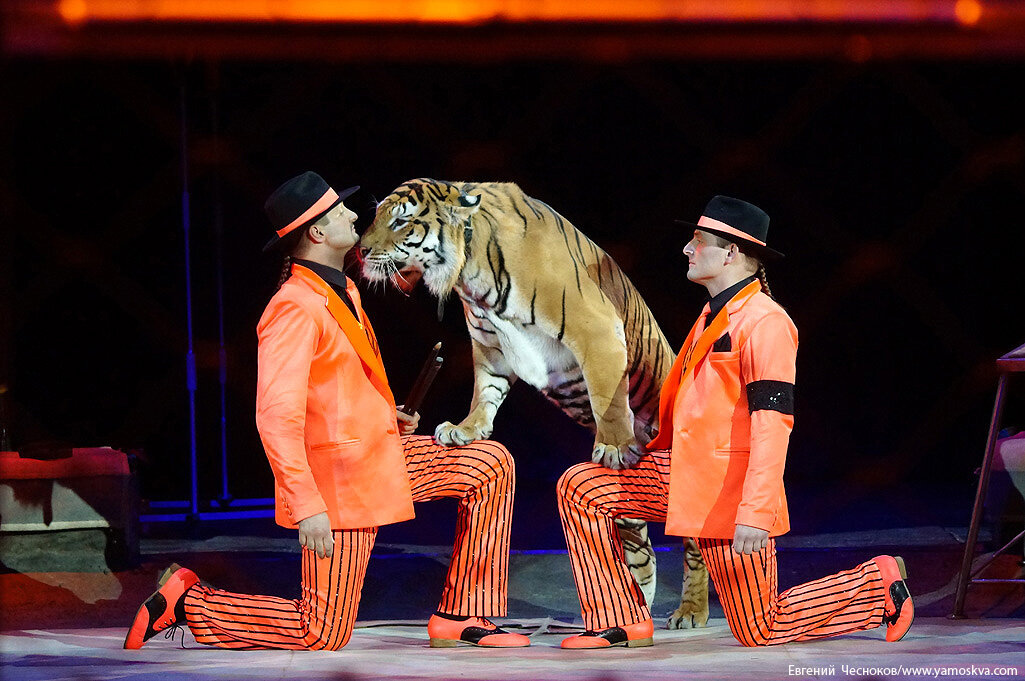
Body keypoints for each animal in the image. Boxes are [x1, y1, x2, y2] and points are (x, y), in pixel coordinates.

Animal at [360, 176, 713, 627]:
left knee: (693, 545)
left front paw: (615, 445)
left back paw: (690, 610)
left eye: (401, 221)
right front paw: (466, 428)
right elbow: (485, 390)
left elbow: (609, 396)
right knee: (639, 545)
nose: (360, 250)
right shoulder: (489, 343)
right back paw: (636, 607)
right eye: (375, 217)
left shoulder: (596, 328)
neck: (469, 269)